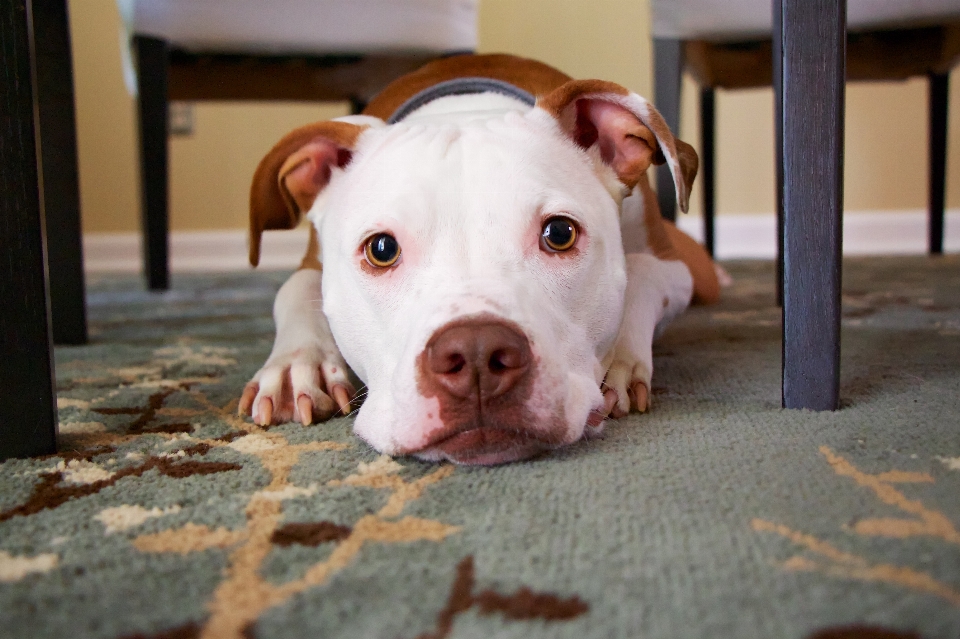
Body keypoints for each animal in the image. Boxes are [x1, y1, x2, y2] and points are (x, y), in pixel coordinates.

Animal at [240, 53, 720, 464]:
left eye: (559, 233)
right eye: (381, 249)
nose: (475, 354)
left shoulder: (674, 268)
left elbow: (640, 272)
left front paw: (620, 359)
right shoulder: (312, 264)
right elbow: (294, 288)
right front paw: (297, 366)